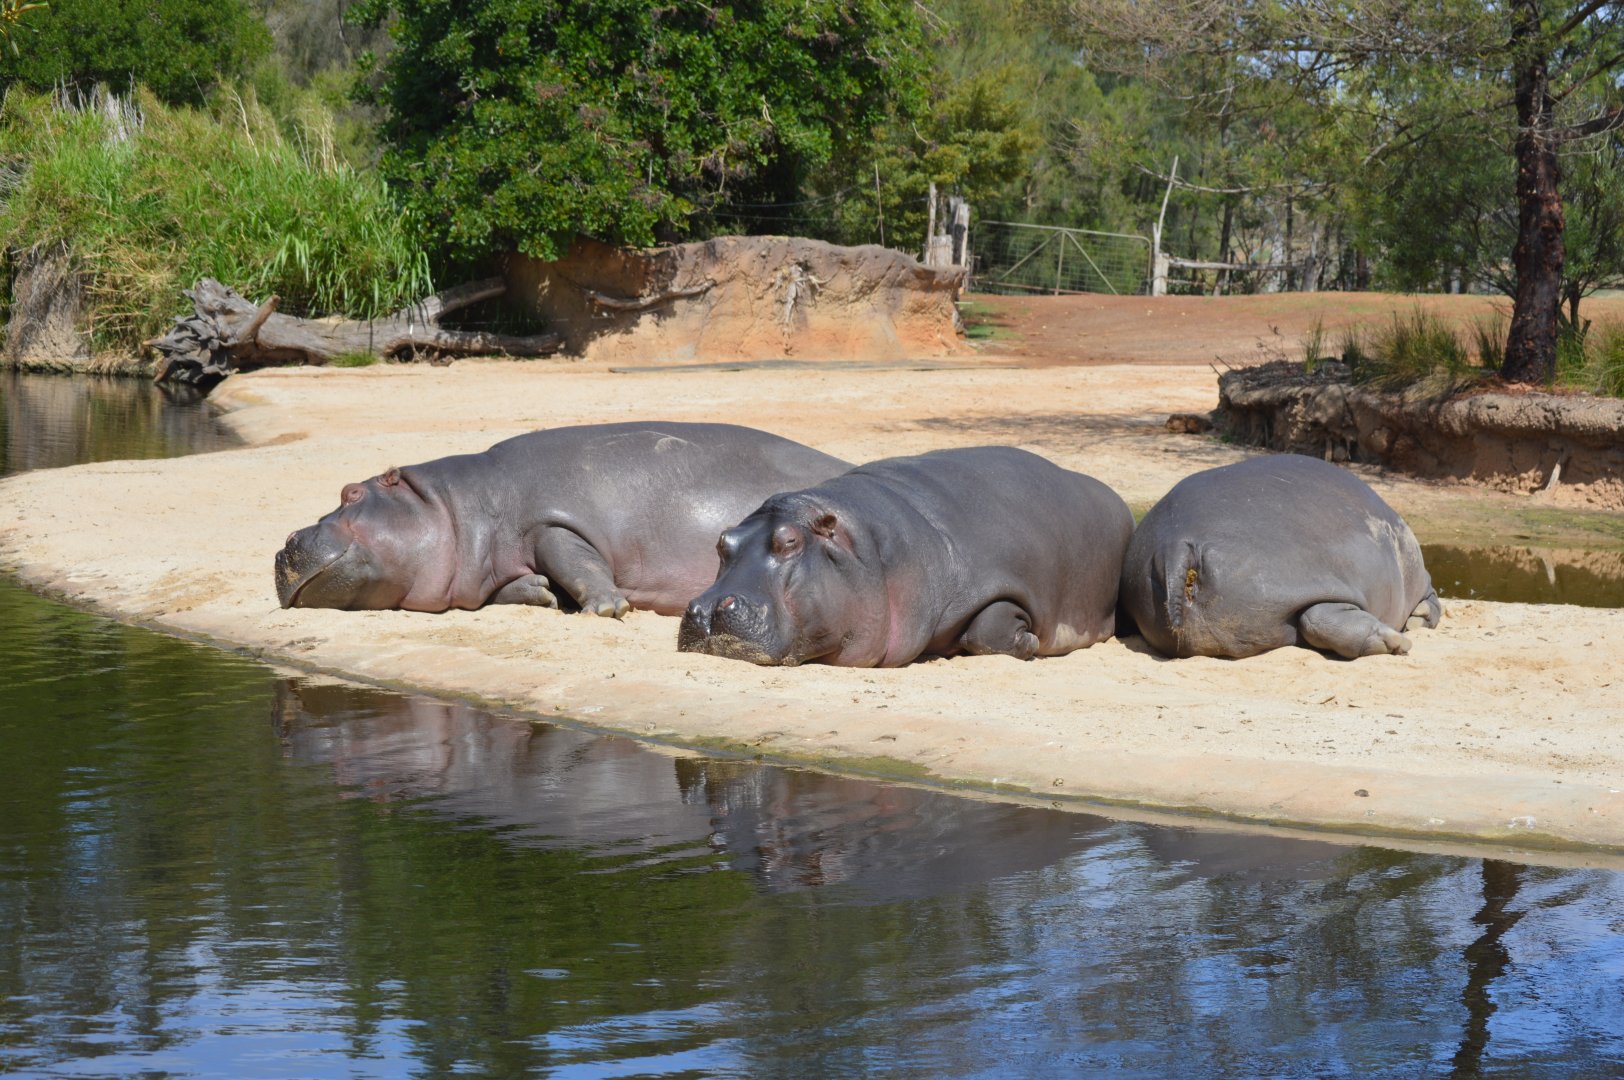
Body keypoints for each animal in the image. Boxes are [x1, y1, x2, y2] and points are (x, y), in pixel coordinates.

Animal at [274, 423, 850, 616]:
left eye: (351, 492)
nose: (285, 540)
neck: (454, 506)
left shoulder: (551, 522)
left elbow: (571, 555)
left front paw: (608, 608)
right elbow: (520, 583)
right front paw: (541, 594)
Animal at [677, 446, 1134, 667]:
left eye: (788, 542)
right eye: (723, 541)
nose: (707, 608)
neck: (869, 551)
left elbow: (987, 629)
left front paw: (1030, 642)